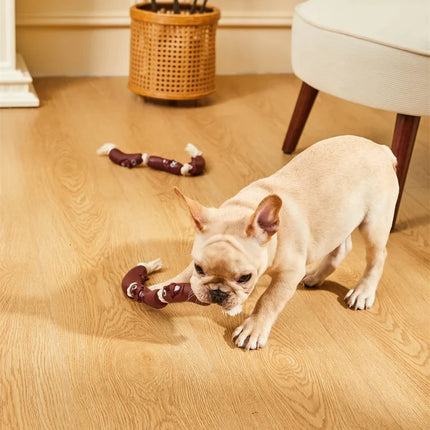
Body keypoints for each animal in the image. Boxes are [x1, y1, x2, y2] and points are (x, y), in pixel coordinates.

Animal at [149, 137, 398, 350]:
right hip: (341, 220)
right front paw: (158, 288)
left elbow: (268, 299)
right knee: (342, 247)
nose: (217, 294)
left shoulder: (289, 273)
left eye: (245, 278)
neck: (244, 209)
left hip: (374, 223)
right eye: (199, 268)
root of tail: (381, 149)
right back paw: (315, 276)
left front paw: (253, 329)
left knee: (378, 256)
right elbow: (184, 274)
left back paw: (363, 292)